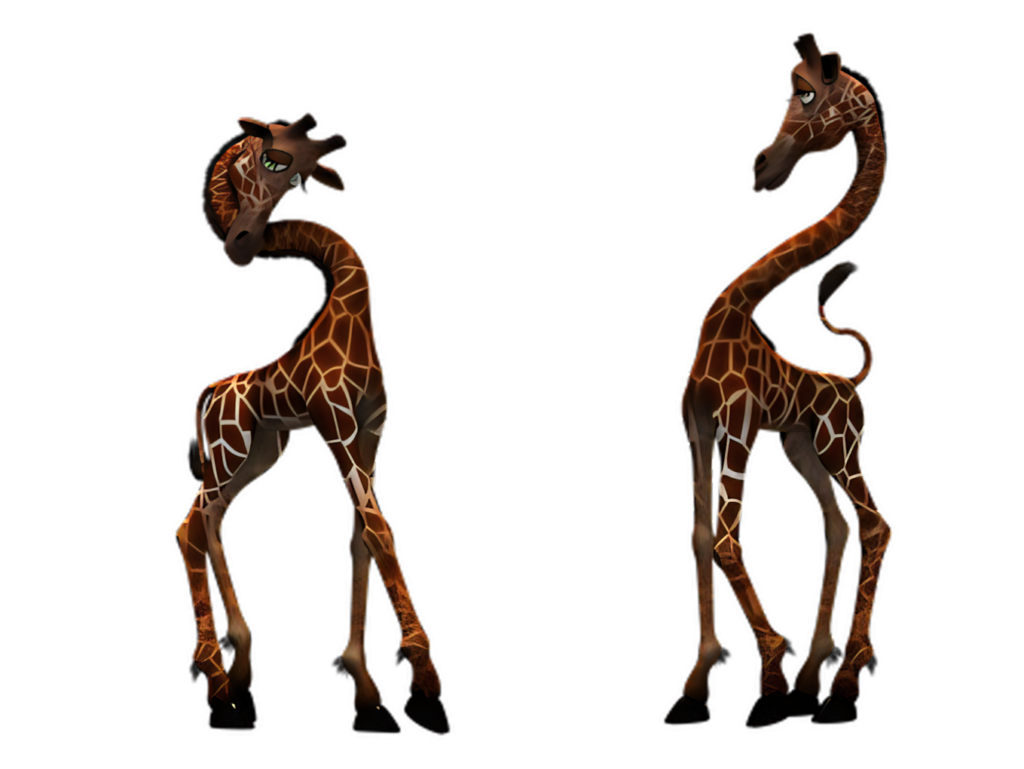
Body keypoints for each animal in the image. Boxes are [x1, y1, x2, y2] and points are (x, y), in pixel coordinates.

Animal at [172, 113, 444, 731]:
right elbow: (380, 527)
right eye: (270, 158)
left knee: (210, 515)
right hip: (230, 448)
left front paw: (366, 685)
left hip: (261, 451)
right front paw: (424, 677)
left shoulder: (370, 435)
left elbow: (363, 534)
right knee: (191, 519)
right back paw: (216, 678)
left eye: (298, 177)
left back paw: (237, 664)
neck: (353, 310)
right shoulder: (336, 425)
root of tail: (205, 394)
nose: (243, 245)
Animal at [665, 32, 892, 725]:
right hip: (802, 448)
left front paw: (769, 674)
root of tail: (850, 381)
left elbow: (729, 538)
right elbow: (702, 534)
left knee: (876, 523)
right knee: (838, 523)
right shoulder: (699, 429)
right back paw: (819, 669)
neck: (735, 309)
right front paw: (698, 679)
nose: (761, 165)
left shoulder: (739, 430)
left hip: (843, 446)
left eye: (807, 92)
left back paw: (847, 676)